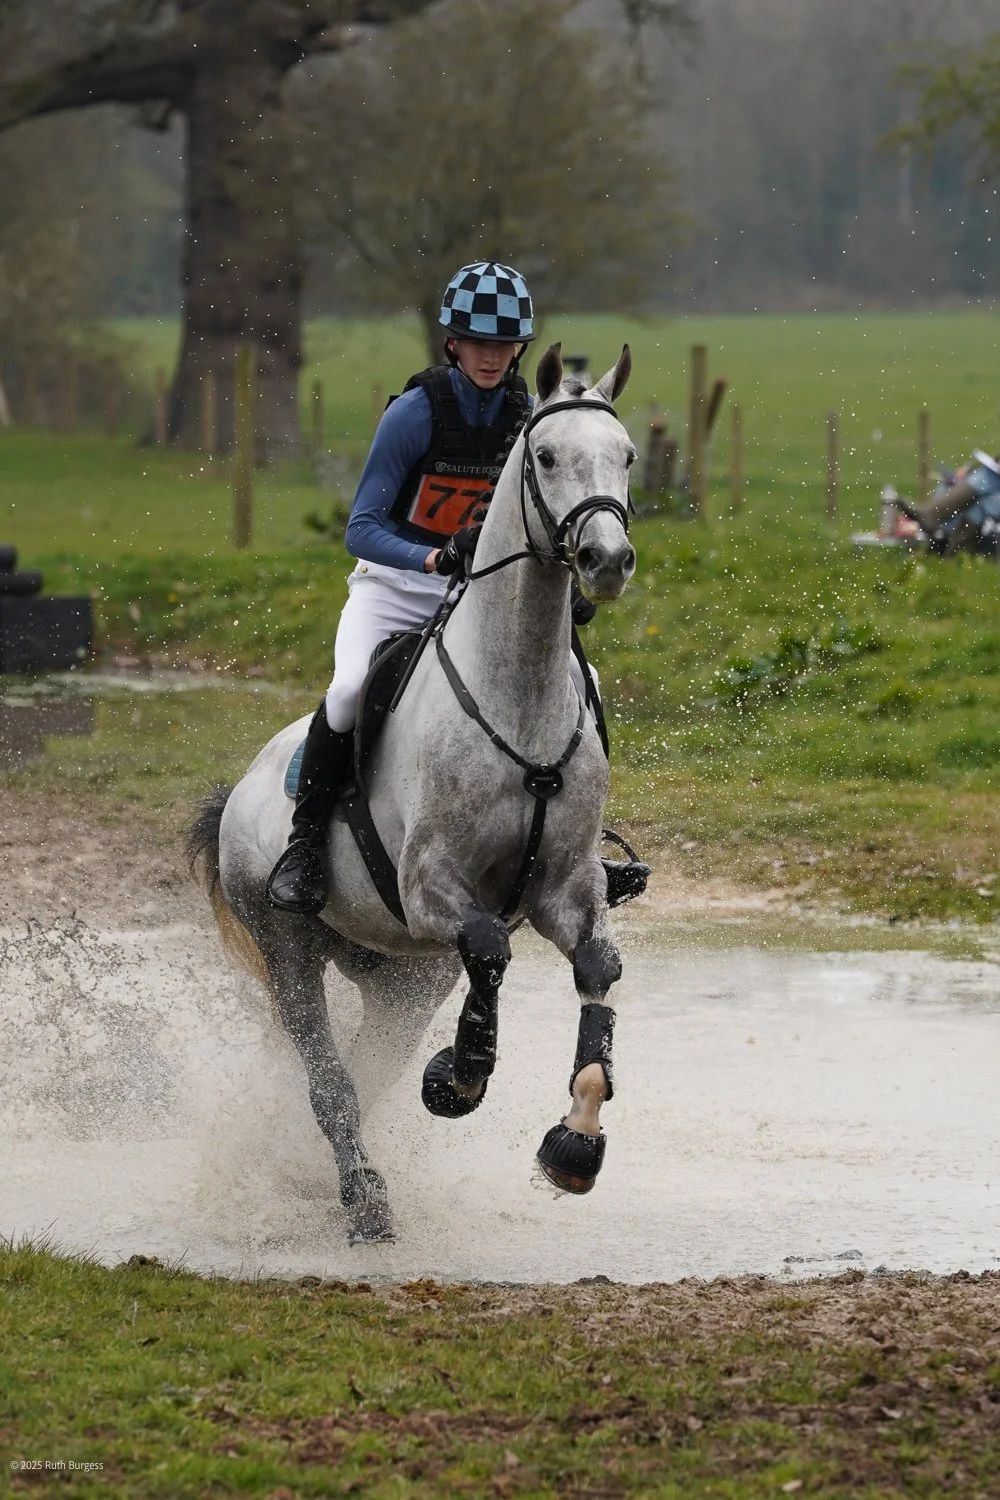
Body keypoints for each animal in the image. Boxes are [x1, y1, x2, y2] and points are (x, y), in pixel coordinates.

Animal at [189, 342, 639, 1243]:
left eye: (628, 457)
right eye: (545, 457)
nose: (606, 561)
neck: (519, 691)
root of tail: (243, 791)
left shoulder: (566, 890)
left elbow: (596, 972)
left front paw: (574, 1145)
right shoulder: (434, 888)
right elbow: (492, 951)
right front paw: (459, 1078)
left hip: (402, 975)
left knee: (369, 1066)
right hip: (290, 944)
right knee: (331, 1080)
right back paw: (364, 1197)